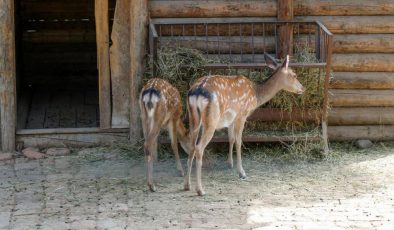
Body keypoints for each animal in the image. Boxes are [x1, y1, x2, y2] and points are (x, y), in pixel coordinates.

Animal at [185, 54, 304, 196]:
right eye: (294, 74)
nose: (303, 88)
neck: (256, 95)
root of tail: (197, 91)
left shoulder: (231, 118)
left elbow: (230, 139)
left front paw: (230, 164)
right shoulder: (242, 115)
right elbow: (238, 141)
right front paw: (241, 172)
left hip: (194, 119)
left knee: (191, 145)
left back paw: (187, 185)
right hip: (211, 120)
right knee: (199, 148)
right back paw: (200, 190)